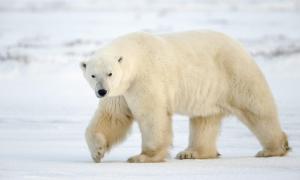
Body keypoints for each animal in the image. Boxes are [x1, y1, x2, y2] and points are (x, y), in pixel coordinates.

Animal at [81, 30, 290, 162]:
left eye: (110, 73)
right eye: (93, 75)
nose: (101, 91)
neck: (136, 56)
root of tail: (240, 46)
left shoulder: (144, 79)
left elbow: (152, 115)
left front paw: (144, 156)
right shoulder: (122, 90)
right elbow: (112, 116)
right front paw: (97, 151)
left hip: (234, 73)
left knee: (257, 109)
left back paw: (273, 149)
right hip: (210, 92)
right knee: (204, 120)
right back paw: (192, 153)